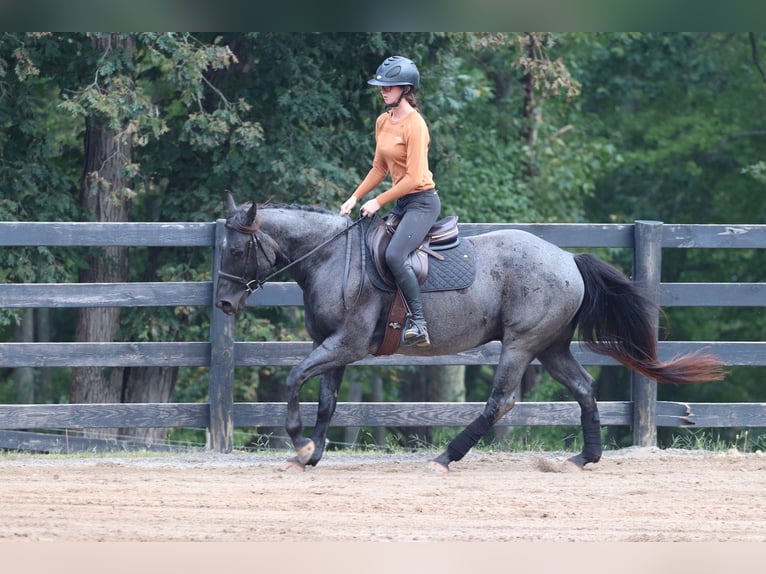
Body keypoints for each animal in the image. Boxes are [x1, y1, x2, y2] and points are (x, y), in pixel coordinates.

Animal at [216, 196, 728, 474]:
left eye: (238, 249)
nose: (223, 304)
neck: (332, 257)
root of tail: (567, 259)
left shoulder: (347, 344)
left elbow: (293, 378)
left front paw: (300, 443)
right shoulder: (333, 347)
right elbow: (325, 400)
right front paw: (311, 455)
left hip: (521, 343)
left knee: (501, 401)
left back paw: (446, 456)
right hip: (551, 347)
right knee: (584, 388)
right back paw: (585, 458)